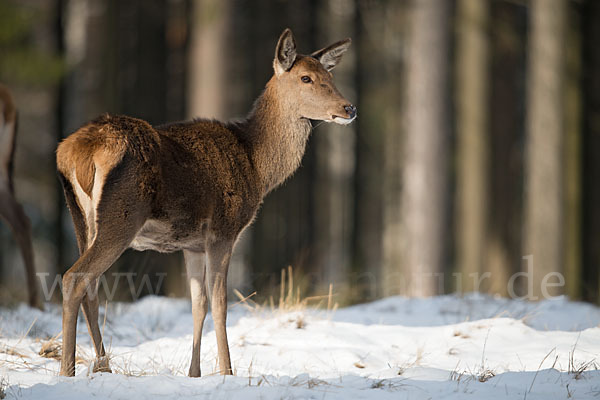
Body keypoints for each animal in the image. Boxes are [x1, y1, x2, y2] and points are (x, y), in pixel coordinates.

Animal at [55, 28, 356, 378]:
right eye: (306, 77)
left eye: (330, 75)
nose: (349, 108)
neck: (256, 166)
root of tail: (76, 152)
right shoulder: (223, 231)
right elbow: (221, 303)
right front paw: (227, 372)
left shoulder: (192, 244)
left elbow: (197, 305)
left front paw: (194, 373)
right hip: (123, 215)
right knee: (75, 277)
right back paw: (67, 371)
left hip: (81, 218)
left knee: (90, 286)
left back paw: (102, 366)